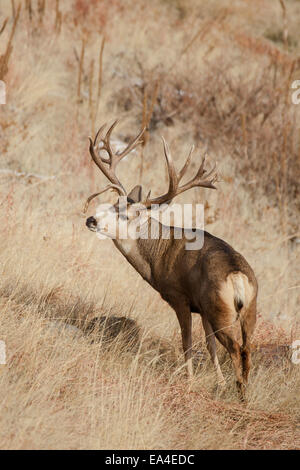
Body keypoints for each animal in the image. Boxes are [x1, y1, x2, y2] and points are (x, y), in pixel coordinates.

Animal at [84, 121, 258, 400]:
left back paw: (240, 393)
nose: (91, 219)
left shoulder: (180, 297)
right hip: (246, 309)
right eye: (111, 204)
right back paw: (243, 390)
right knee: (247, 348)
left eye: (127, 215)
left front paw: (190, 381)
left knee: (235, 348)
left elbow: (187, 343)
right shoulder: (202, 308)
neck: (158, 254)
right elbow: (209, 346)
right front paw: (218, 383)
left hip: (221, 310)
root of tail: (237, 275)